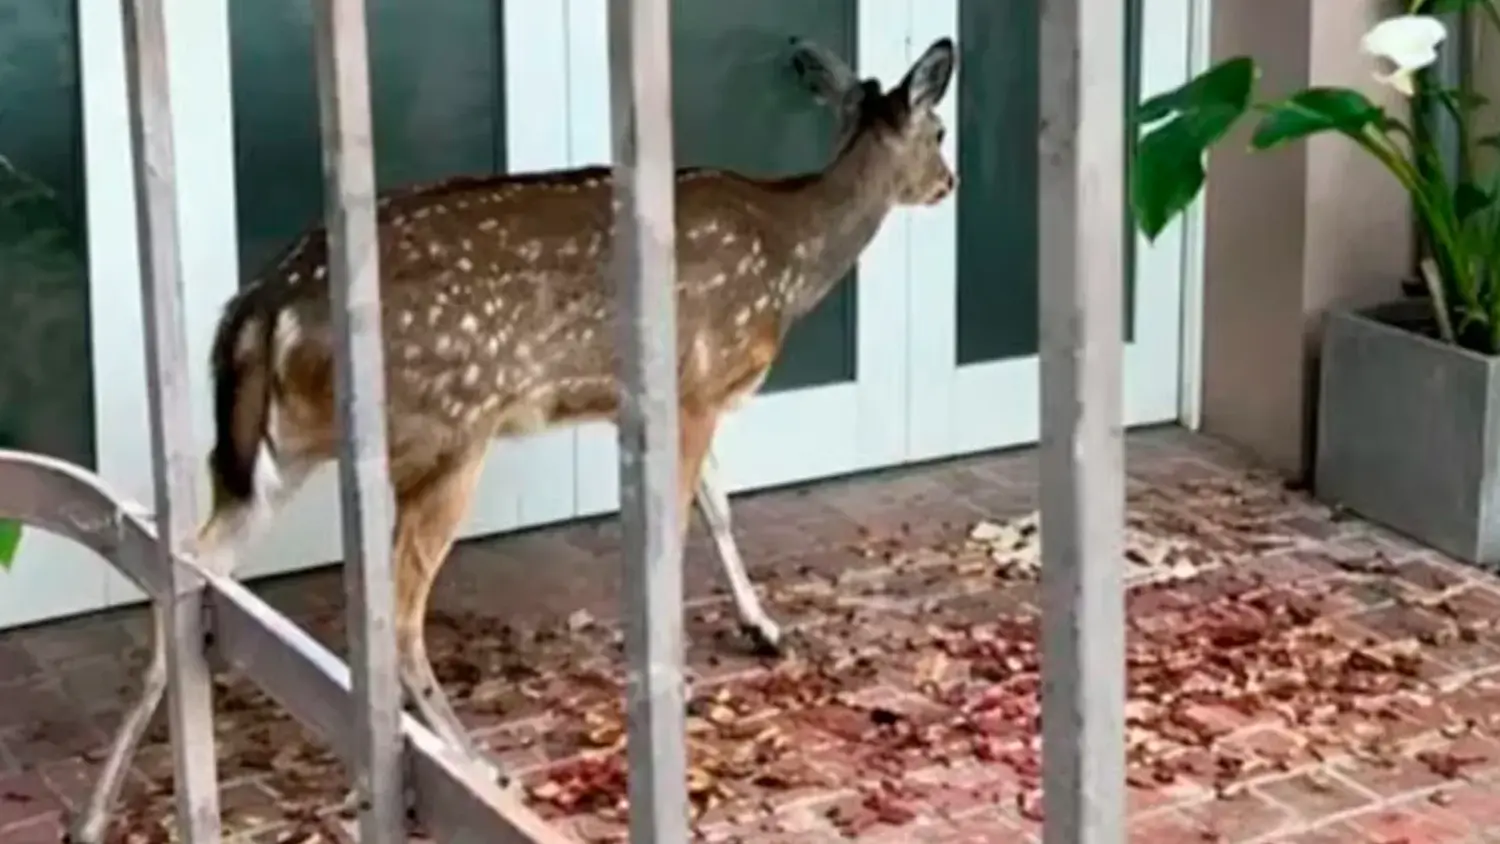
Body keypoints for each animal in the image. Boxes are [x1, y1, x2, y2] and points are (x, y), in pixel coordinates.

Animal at [77, 34, 957, 829]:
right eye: (942, 129)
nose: (949, 183)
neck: (789, 255)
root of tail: (262, 308)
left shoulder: (670, 397)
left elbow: (718, 505)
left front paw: (765, 628)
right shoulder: (698, 381)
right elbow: (691, 517)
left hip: (278, 452)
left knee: (182, 575)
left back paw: (95, 811)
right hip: (445, 430)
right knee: (396, 618)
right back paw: (480, 768)